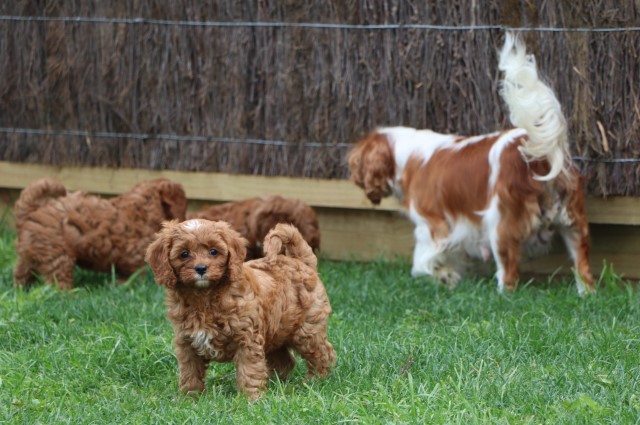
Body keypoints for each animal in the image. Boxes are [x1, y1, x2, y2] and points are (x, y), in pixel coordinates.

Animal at [13, 176, 186, 288]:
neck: (143, 208)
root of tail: (30, 212)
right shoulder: (134, 258)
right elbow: (134, 275)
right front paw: (129, 286)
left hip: (30, 252)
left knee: (21, 271)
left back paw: (21, 288)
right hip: (57, 254)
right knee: (58, 280)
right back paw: (70, 295)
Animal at [144, 219, 336, 398]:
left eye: (213, 251)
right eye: (184, 254)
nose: (201, 268)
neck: (204, 297)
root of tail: (300, 261)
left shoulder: (247, 339)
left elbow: (249, 371)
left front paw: (251, 399)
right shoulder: (186, 342)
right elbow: (189, 372)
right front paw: (189, 398)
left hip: (307, 330)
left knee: (322, 353)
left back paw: (315, 381)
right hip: (275, 331)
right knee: (284, 361)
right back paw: (275, 383)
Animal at [348, 33, 592, 294]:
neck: (408, 155)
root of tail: (537, 152)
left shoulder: (432, 224)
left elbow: (422, 261)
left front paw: (443, 276)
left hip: (500, 225)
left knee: (508, 274)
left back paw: (501, 294)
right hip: (573, 223)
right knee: (583, 268)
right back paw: (586, 294)